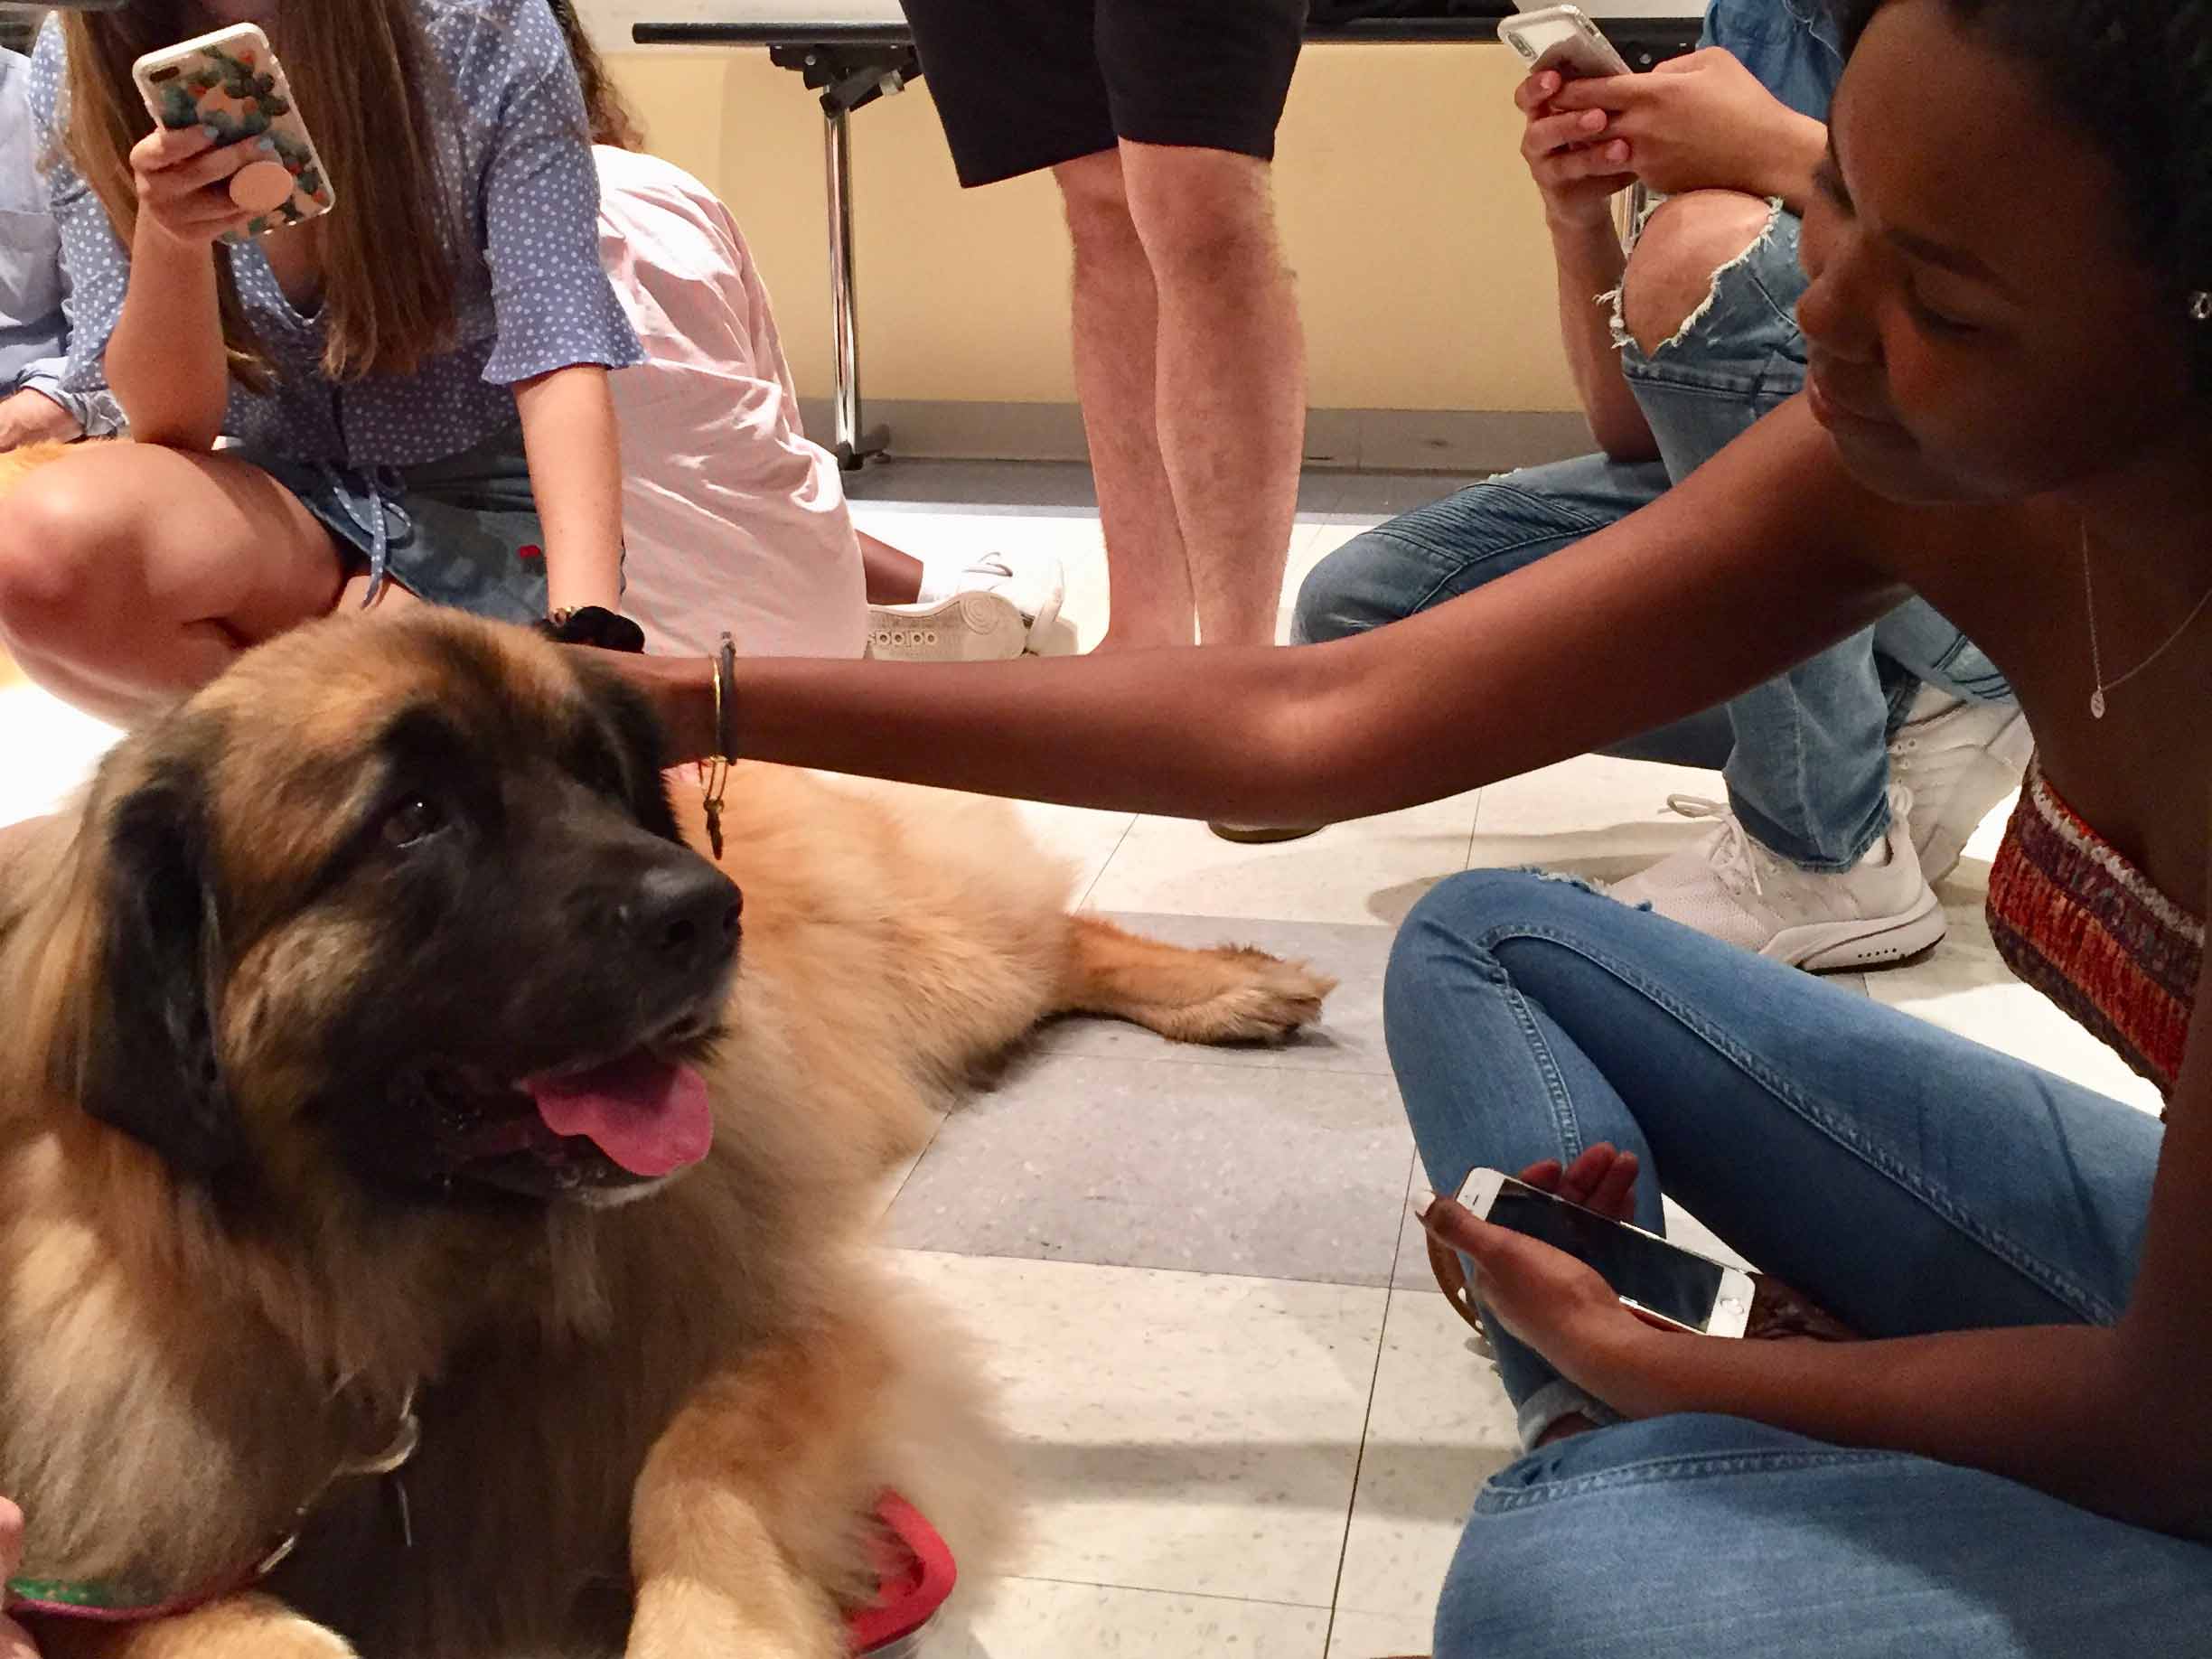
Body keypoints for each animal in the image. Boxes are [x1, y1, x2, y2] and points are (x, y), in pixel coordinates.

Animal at [0, 614, 1326, 1659]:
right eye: (414, 818)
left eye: (596, 777)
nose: (708, 911)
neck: (427, 1282)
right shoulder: (111, 1558)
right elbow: (220, 1624)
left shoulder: (791, 1329)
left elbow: (689, 1471)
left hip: (945, 965)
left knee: (1061, 941)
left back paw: (1225, 986)